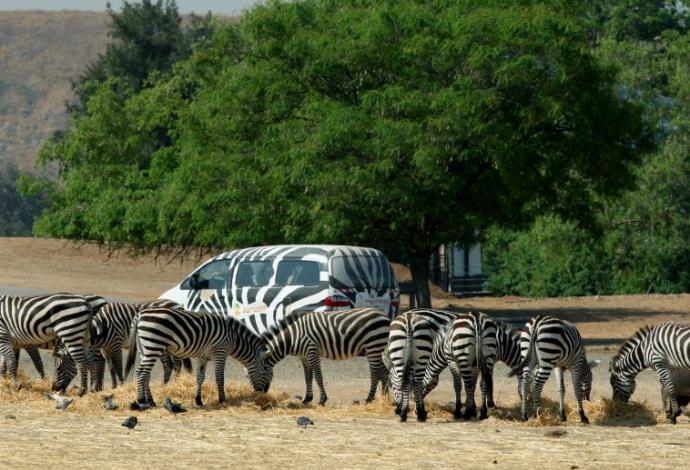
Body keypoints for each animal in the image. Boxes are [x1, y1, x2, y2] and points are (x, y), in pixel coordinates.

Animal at [125, 304, 268, 408]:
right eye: (265, 371)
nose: (264, 392)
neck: (233, 337)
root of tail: (140, 314)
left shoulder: (203, 357)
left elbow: (200, 378)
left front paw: (198, 401)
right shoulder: (220, 352)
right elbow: (219, 377)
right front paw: (222, 399)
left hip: (144, 349)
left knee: (146, 375)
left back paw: (151, 401)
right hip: (153, 346)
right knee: (141, 373)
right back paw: (141, 400)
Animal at [260, 308, 390, 408]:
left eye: (261, 371)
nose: (260, 393)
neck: (294, 337)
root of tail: (385, 316)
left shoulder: (312, 351)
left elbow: (318, 376)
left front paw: (322, 400)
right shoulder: (304, 357)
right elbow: (308, 377)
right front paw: (307, 399)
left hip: (372, 346)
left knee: (375, 373)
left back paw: (369, 399)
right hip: (375, 349)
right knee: (384, 372)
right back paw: (384, 398)